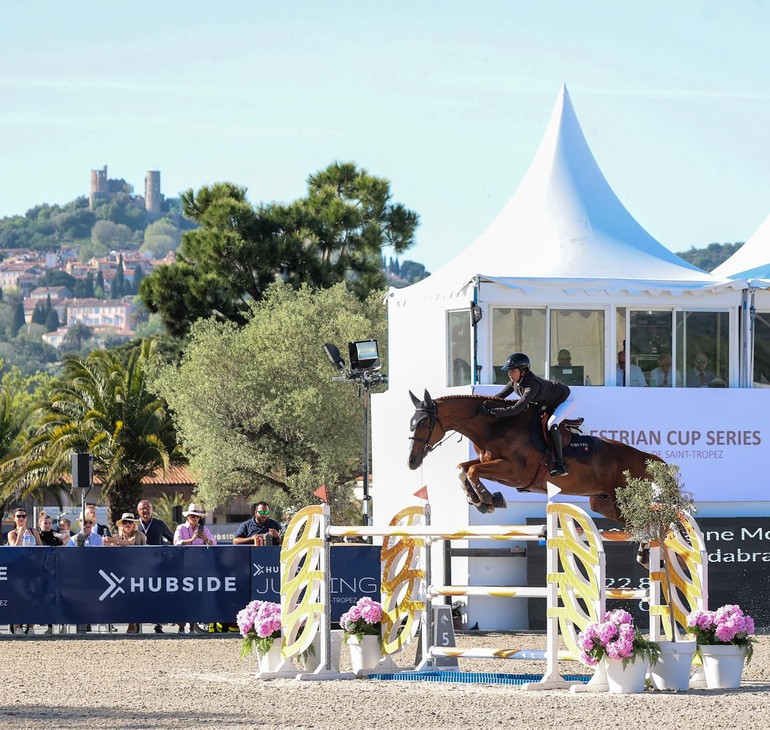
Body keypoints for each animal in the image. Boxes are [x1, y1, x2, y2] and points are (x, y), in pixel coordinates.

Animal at [404, 390, 664, 528]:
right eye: (411, 423)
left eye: (424, 423)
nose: (411, 462)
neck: (495, 427)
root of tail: (650, 460)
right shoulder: (489, 462)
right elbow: (462, 468)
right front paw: (481, 500)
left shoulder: (514, 472)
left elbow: (472, 471)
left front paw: (488, 500)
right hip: (602, 503)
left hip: (625, 504)